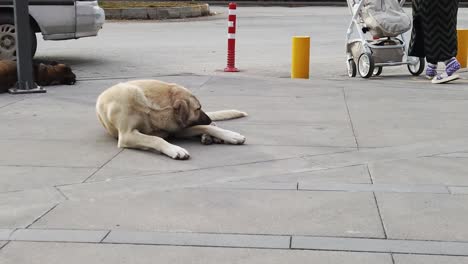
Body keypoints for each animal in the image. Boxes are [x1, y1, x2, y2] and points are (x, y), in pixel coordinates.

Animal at [96, 79, 249, 160]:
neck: (148, 108)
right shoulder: (127, 135)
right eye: (198, 108)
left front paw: (231, 135)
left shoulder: (176, 129)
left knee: (211, 126)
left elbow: (206, 127)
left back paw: (211, 136)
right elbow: (155, 139)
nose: (209, 118)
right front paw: (175, 149)